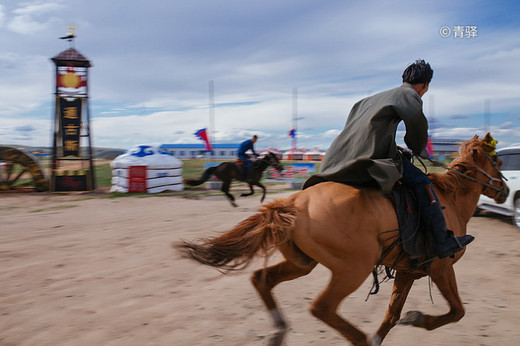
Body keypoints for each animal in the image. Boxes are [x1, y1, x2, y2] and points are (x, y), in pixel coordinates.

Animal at [178, 134, 508, 344]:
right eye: (498, 161)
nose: (504, 190)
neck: (449, 198)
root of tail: (293, 203)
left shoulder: (407, 271)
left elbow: (391, 316)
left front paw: (400, 323)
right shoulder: (442, 267)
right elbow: (457, 311)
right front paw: (418, 319)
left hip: (302, 262)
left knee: (262, 279)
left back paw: (278, 332)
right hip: (353, 269)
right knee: (322, 307)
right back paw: (357, 339)